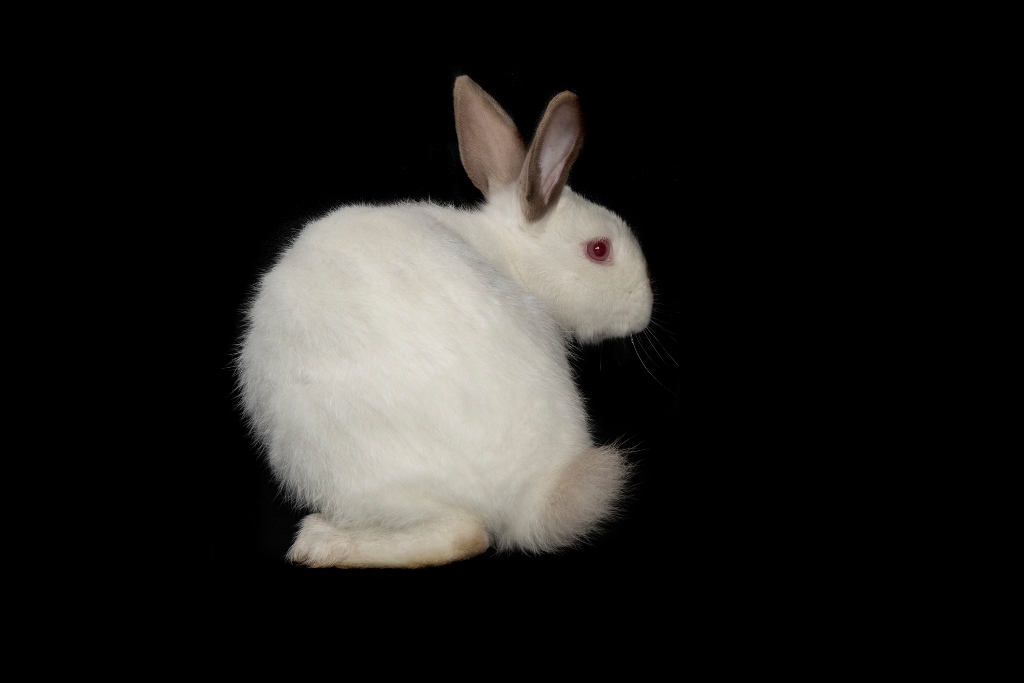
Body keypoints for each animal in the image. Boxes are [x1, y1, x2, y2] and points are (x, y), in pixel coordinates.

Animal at [237, 75, 654, 568]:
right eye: (599, 250)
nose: (646, 310)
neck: (507, 254)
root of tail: (532, 501)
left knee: (462, 534)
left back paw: (322, 543)